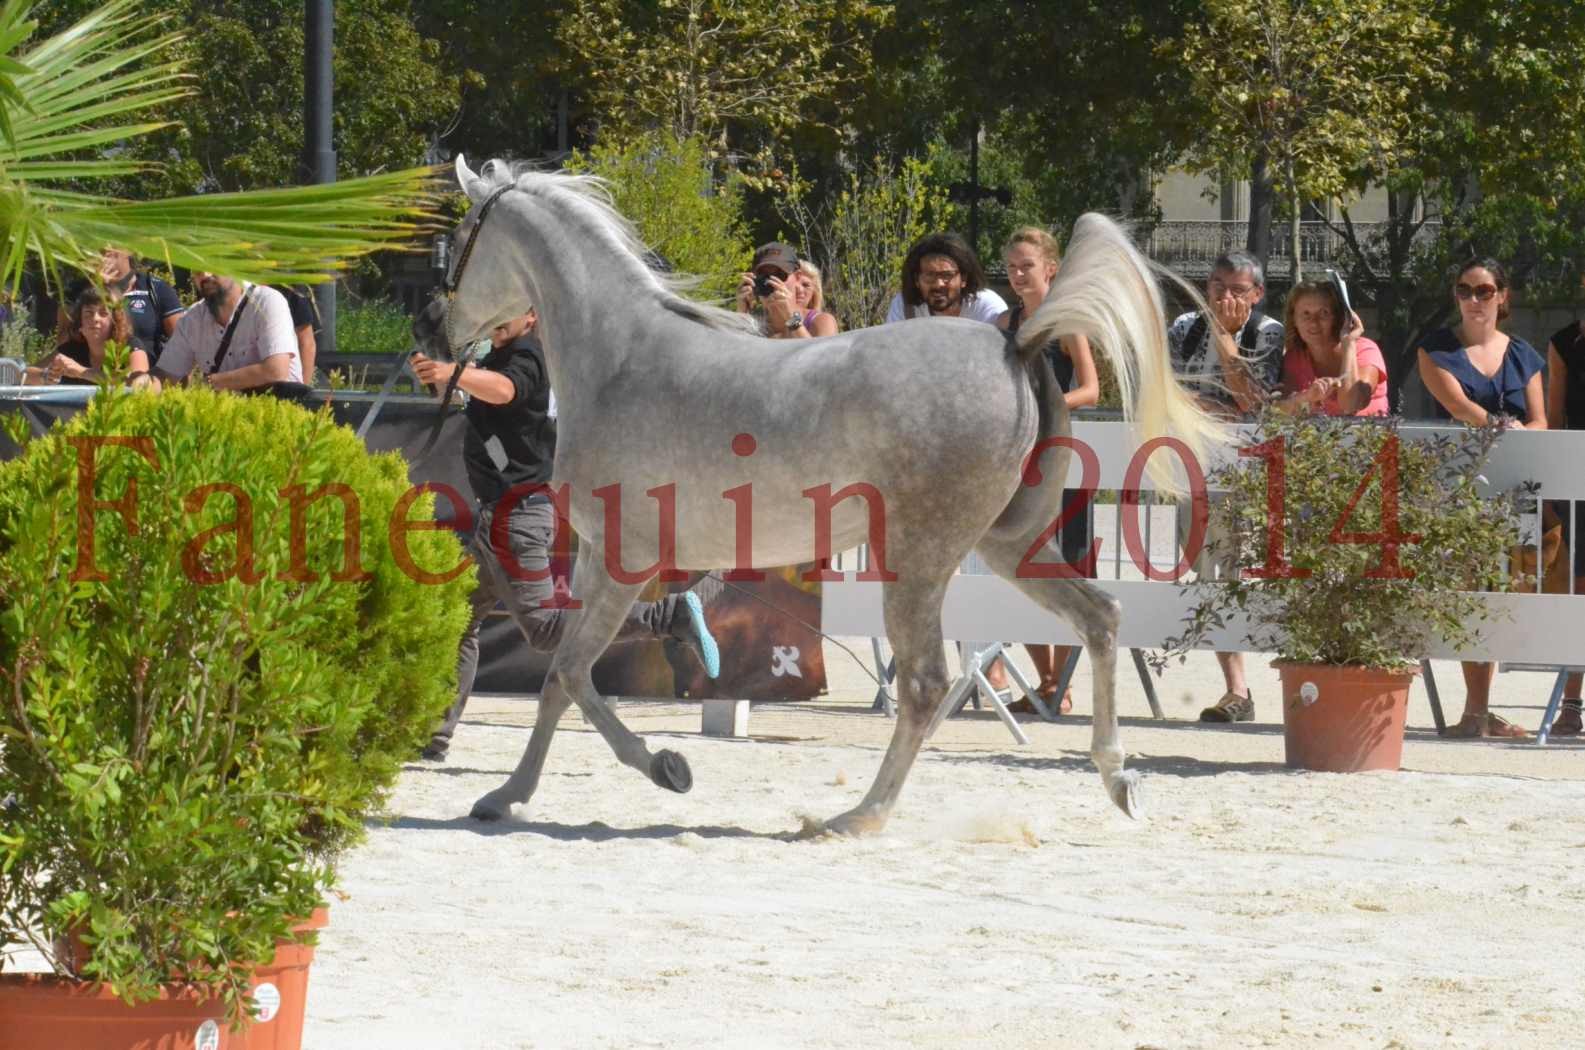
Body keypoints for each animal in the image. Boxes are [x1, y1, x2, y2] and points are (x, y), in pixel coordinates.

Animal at [415, 156, 1217, 837]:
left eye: (455, 241)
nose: (432, 330)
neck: (620, 361)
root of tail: (1014, 345)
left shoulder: (623, 558)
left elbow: (572, 674)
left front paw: (666, 767)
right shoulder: (592, 560)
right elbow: (559, 680)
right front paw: (506, 797)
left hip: (919, 560)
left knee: (927, 684)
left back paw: (855, 818)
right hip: (1009, 545)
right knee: (1102, 619)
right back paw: (1119, 780)